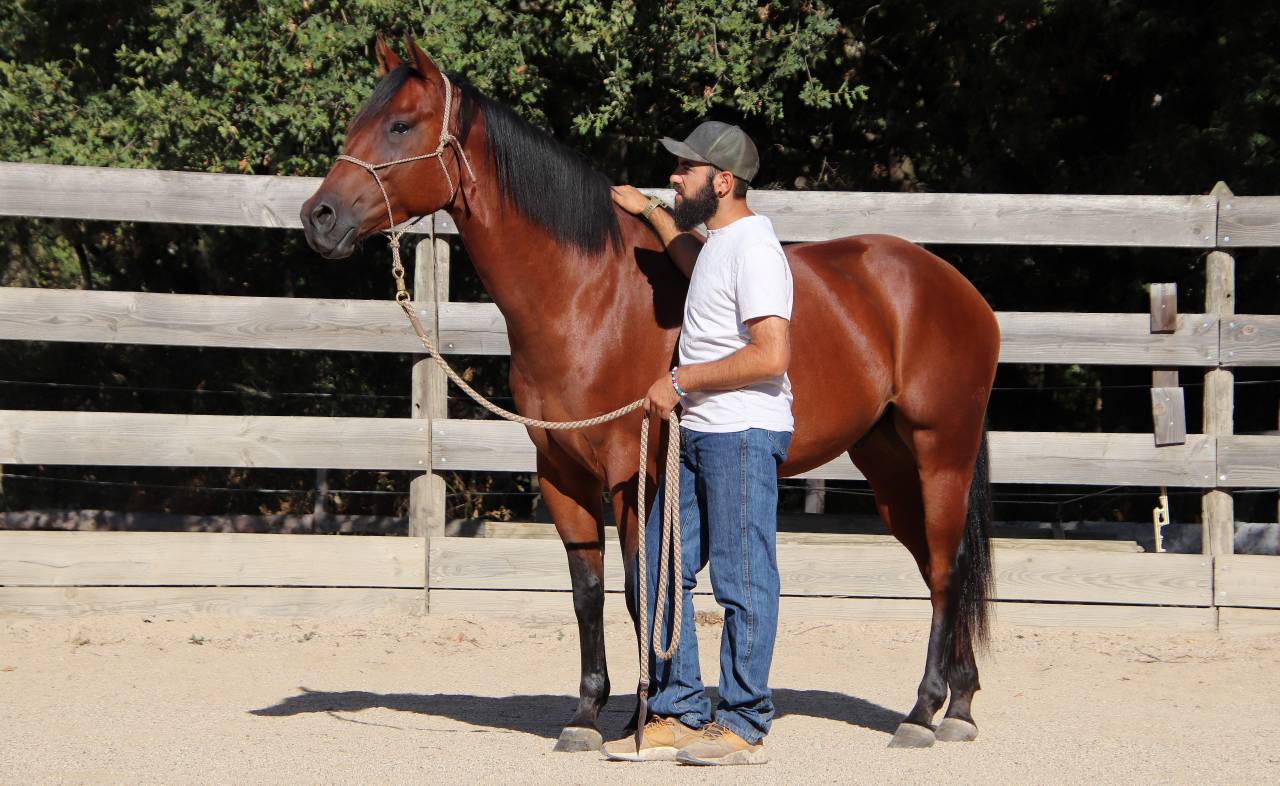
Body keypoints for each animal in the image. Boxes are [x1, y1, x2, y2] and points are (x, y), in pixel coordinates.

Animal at [301, 34, 1000, 751]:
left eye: (400, 125)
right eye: (358, 121)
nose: (318, 217)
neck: (589, 295)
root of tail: (951, 284)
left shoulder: (629, 472)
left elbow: (645, 590)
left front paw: (651, 714)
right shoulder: (561, 473)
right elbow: (587, 592)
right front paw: (587, 714)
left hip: (940, 454)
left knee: (947, 570)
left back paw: (925, 711)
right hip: (889, 468)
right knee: (940, 567)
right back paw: (961, 705)